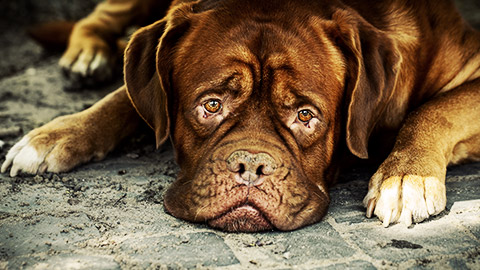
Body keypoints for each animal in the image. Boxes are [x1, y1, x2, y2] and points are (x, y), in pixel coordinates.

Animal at [0, 0, 480, 232]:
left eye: (306, 115)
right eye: (211, 105)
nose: (251, 166)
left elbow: (433, 110)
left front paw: (407, 177)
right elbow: (122, 98)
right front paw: (54, 135)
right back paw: (88, 53)